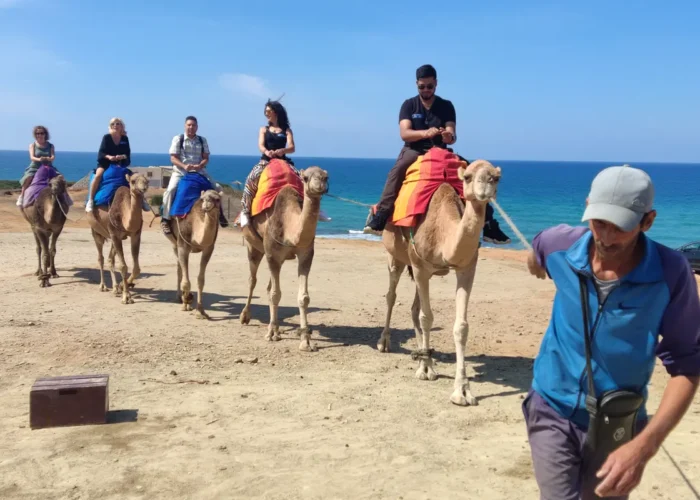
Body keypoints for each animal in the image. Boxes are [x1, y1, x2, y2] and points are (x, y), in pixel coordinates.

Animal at [87, 173, 149, 304]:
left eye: (147, 181)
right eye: (133, 181)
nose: (143, 188)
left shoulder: (135, 235)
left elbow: (136, 268)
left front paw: (123, 286)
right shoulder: (115, 235)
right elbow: (123, 266)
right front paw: (126, 297)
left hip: (113, 238)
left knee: (110, 259)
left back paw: (115, 288)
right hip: (97, 233)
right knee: (101, 258)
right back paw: (103, 286)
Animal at [163, 189, 221, 319]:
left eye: (217, 199)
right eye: (202, 198)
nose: (207, 204)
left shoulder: (209, 248)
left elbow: (201, 280)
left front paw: (200, 311)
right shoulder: (183, 246)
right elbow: (186, 281)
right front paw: (186, 301)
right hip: (175, 244)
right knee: (179, 270)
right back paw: (181, 299)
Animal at [240, 166, 329, 351]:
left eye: (326, 176)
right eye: (305, 177)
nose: (320, 184)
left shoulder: (306, 254)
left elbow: (303, 297)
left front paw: (306, 341)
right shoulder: (272, 254)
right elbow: (275, 294)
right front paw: (271, 334)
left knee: (268, 286)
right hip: (254, 246)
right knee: (252, 280)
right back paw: (245, 317)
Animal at [378, 159, 502, 406]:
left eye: (496, 177)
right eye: (468, 177)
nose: (485, 187)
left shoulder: (466, 268)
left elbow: (461, 326)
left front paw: (462, 391)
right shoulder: (419, 266)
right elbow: (427, 318)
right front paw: (425, 370)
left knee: (414, 308)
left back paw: (422, 353)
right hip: (397, 256)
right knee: (392, 295)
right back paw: (386, 343)